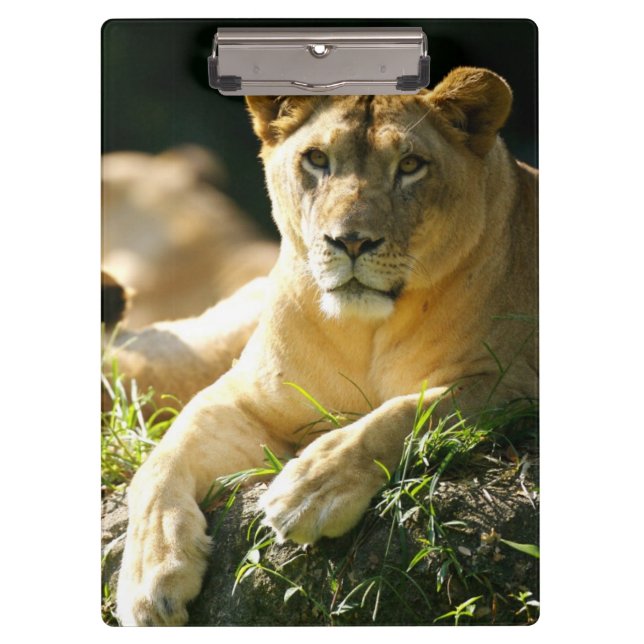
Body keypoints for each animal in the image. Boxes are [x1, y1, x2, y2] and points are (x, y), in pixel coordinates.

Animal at [114, 67, 538, 626]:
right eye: (317, 159)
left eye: (410, 166)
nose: (350, 241)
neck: (361, 331)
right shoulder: (243, 395)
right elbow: (161, 460)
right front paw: (149, 580)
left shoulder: (510, 381)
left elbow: (403, 414)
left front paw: (310, 490)